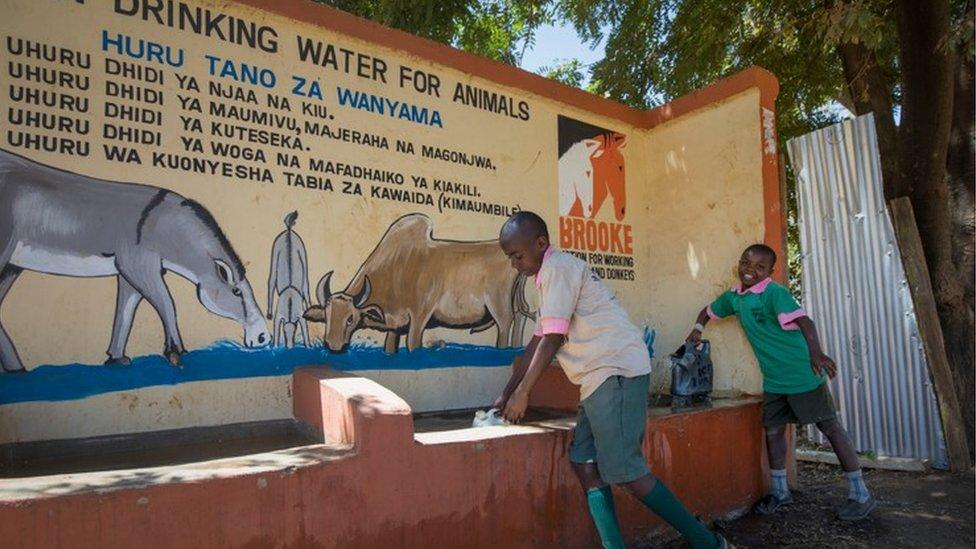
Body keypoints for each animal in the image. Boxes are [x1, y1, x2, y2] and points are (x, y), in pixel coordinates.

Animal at [0, 149, 270, 372]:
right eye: (236, 292)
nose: (263, 338)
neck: (163, 224)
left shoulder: (131, 273)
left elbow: (126, 312)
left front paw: (117, 358)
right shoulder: (138, 264)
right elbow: (167, 303)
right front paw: (176, 352)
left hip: (13, 266)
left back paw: (17, 369)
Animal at [304, 212, 532, 354]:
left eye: (350, 318)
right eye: (326, 316)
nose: (333, 346)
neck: (396, 269)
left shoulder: (420, 315)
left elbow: (413, 344)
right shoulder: (395, 324)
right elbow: (389, 347)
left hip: (498, 305)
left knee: (505, 324)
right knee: (521, 318)